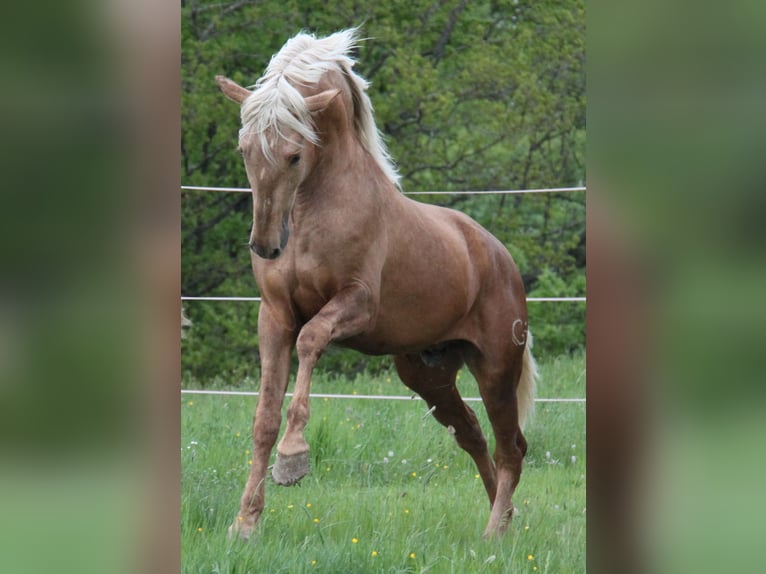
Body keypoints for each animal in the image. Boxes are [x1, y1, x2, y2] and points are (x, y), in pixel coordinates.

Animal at [216, 28, 538, 540]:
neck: (317, 208)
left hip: (495, 369)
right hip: (427, 374)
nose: (265, 245)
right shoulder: (275, 315)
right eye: (244, 150)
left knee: (512, 447)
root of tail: (500, 258)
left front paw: (293, 459)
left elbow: (311, 341)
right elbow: (263, 418)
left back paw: (493, 535)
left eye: (294, 154)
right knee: (473, 433)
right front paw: (245, 523)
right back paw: (504, 523)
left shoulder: (355, 305)